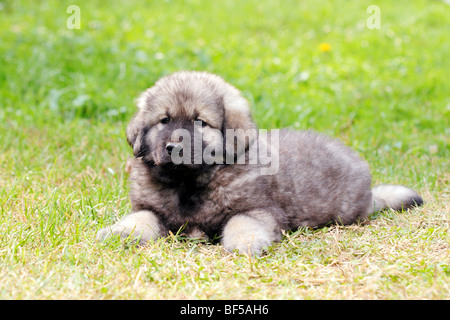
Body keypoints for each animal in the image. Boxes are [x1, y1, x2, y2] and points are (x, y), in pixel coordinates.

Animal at [95, 71, 422, 256]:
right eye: (164, 120)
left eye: (200, 122)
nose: (173, 147)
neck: (189, 185)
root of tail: (369, 193)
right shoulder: (150, 207)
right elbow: (140, 219)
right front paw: (118, 232)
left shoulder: (258, 209)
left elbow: (240, 222)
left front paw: (246, 242)